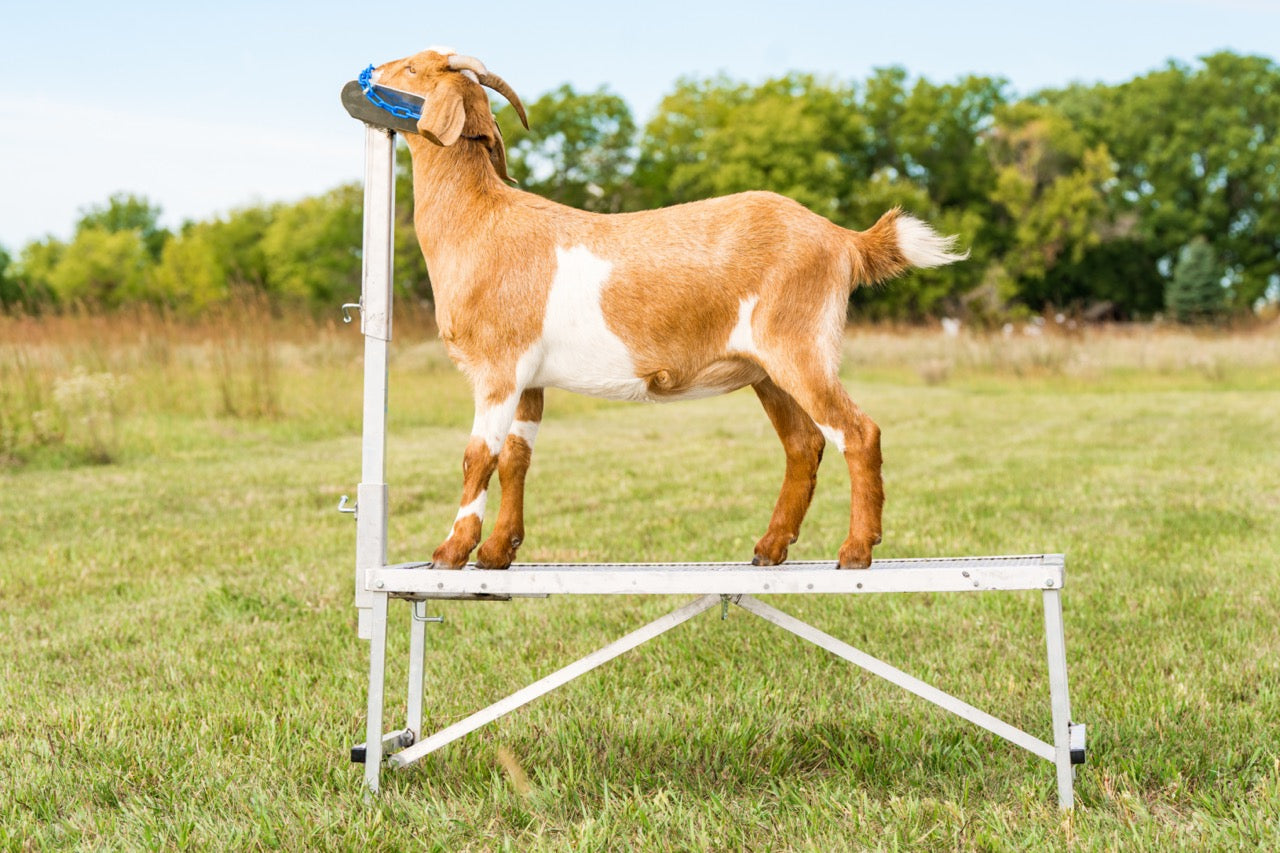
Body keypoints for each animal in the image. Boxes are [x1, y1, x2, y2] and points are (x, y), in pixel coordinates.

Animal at [370, 47, 967, 571]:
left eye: (414, 67)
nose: (371, 70)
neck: (479, 221)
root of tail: (842, 238)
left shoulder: (499, 367)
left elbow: (478, 457)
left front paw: (451, 552)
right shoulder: (530, 379)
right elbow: (516, 458)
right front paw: (497, 553)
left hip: (800, 346)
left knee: (858, 433)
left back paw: (856, 551)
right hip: (768, 370)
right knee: (805, 443)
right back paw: (769, 548)